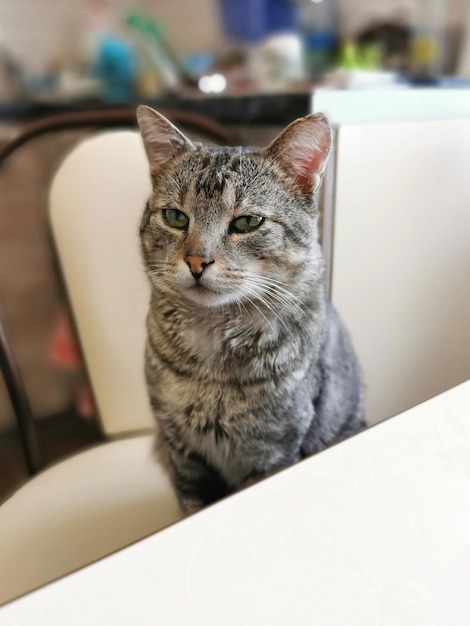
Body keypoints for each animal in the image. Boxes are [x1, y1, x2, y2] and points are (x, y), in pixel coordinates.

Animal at [136, 103, 364, 512]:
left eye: (247, 222)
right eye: (176, 217)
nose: (196, 261)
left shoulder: (271, 453)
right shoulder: (181, 450)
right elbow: (191, 503)